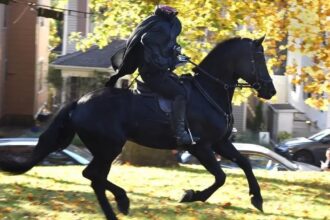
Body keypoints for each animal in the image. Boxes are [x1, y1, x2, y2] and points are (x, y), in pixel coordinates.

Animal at [0, 36, 276, 220]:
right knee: (93, 175)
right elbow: (220, 177)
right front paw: (191, 196)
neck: (208, 91)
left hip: (106, 149)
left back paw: (118, 206)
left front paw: (257, 198)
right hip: (109, 147)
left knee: (94, 177)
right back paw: (121, 202)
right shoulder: (201, 147)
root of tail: (79, 102)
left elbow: (245, 163)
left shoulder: (221, 143)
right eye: (258, 59)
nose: (270, 90)